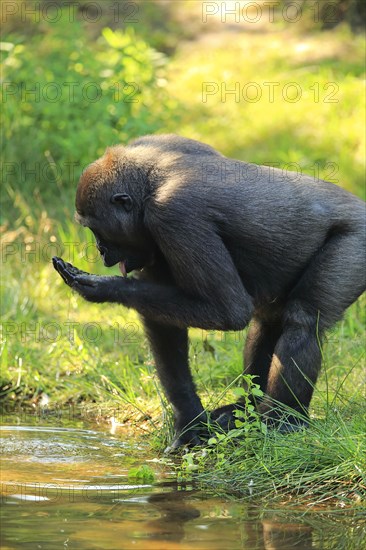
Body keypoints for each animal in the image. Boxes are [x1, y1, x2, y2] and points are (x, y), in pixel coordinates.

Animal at [52, 136, 366, 450]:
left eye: (97, 229)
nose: (101, 251)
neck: (150, 185)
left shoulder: (173, 216)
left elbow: (230, 311)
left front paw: (103, 287)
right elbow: (165, 325)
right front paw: (189, 420)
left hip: (356, 241)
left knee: (302, 320)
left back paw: (281, 421)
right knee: (268, 320)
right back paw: (249, 407)